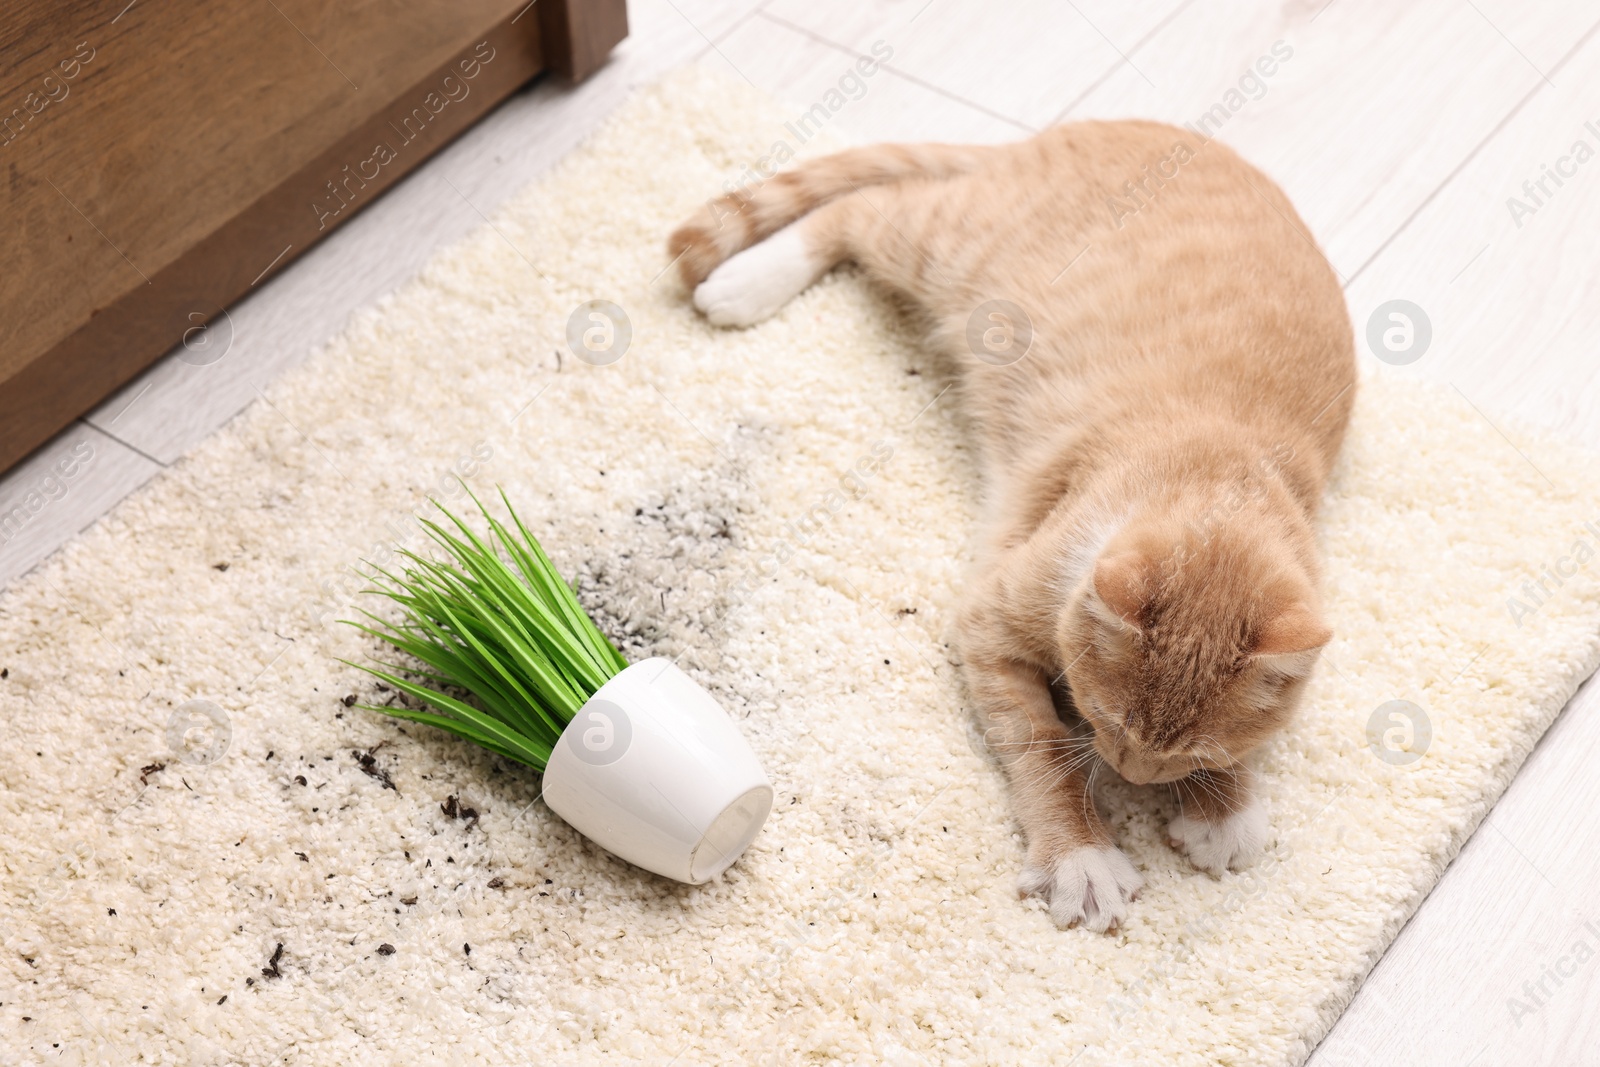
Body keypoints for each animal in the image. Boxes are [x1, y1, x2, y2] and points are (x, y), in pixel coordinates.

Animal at [668, 120, 1356, 927]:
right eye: (1105, 720)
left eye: (1190, 754)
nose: (1133, 776)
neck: (1216, 465)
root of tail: (1062, 133)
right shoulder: (987, 624)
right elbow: (1042, 746)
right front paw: (1081, 853)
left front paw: (1225, 806)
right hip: (945, 245)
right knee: (864, 208)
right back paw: (747, 283)